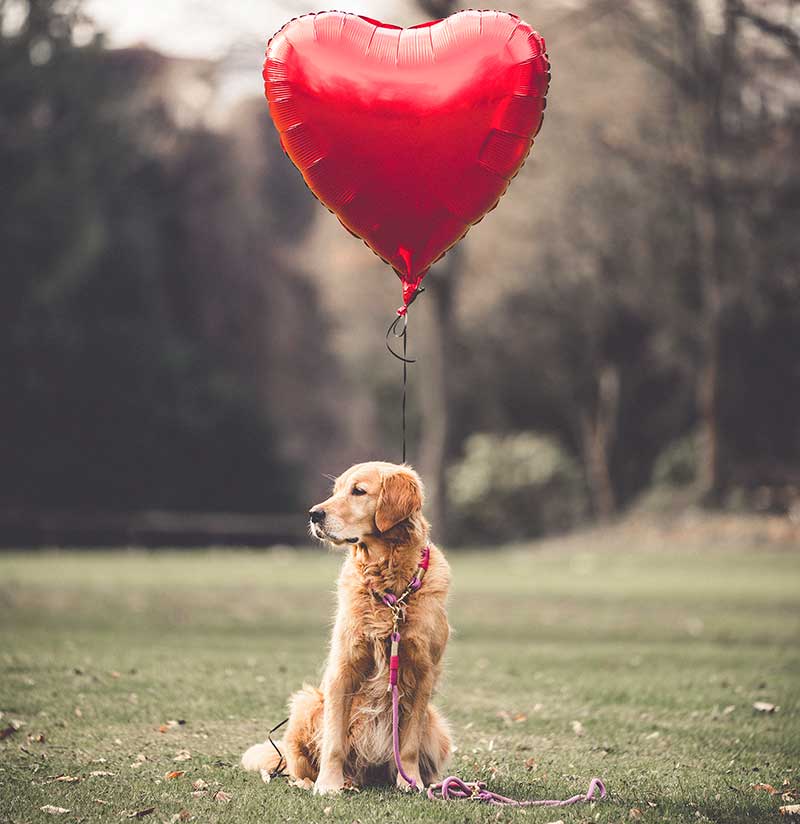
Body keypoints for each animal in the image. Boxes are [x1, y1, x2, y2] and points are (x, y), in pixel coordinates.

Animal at [239, 460, 450, 796]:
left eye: (358, 491)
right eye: (335, 490)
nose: (314, 514)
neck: (389, 585)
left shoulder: (422, 672)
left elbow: (408, 745)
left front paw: (411, 782)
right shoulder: (344, 668)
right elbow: (334, 741)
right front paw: (328, 784)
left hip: (437, 727)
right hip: (307, 703)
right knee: (296, 766)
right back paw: (325, 781)